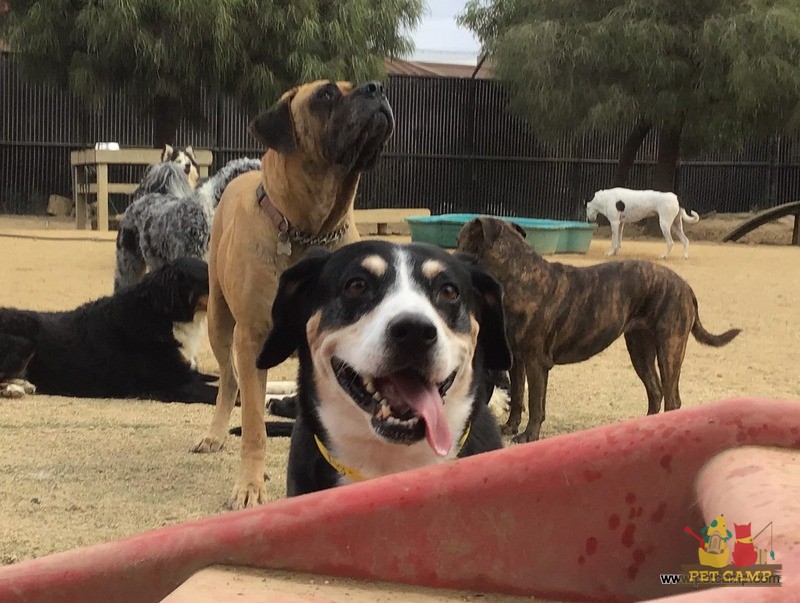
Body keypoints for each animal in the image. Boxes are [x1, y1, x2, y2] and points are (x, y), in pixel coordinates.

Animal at [192, 80, 396, 510]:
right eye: (327, 94)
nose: (376, 87)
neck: (309, 229)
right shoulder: (252, 337)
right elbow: (254, 424)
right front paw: (250, 485)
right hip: (220, 319)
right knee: (229, 381)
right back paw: (216, 434)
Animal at [456, 217, 744, 444]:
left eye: (460, 238)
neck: (517, 276)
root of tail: (684, 285)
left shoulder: (537, 363)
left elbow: (536, 403)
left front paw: (529, 435)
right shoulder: (518, 361)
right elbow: (517, 396)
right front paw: (510, 427)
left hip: (669, 350)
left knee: (672, 398)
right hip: (640, 349)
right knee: (655, 391)